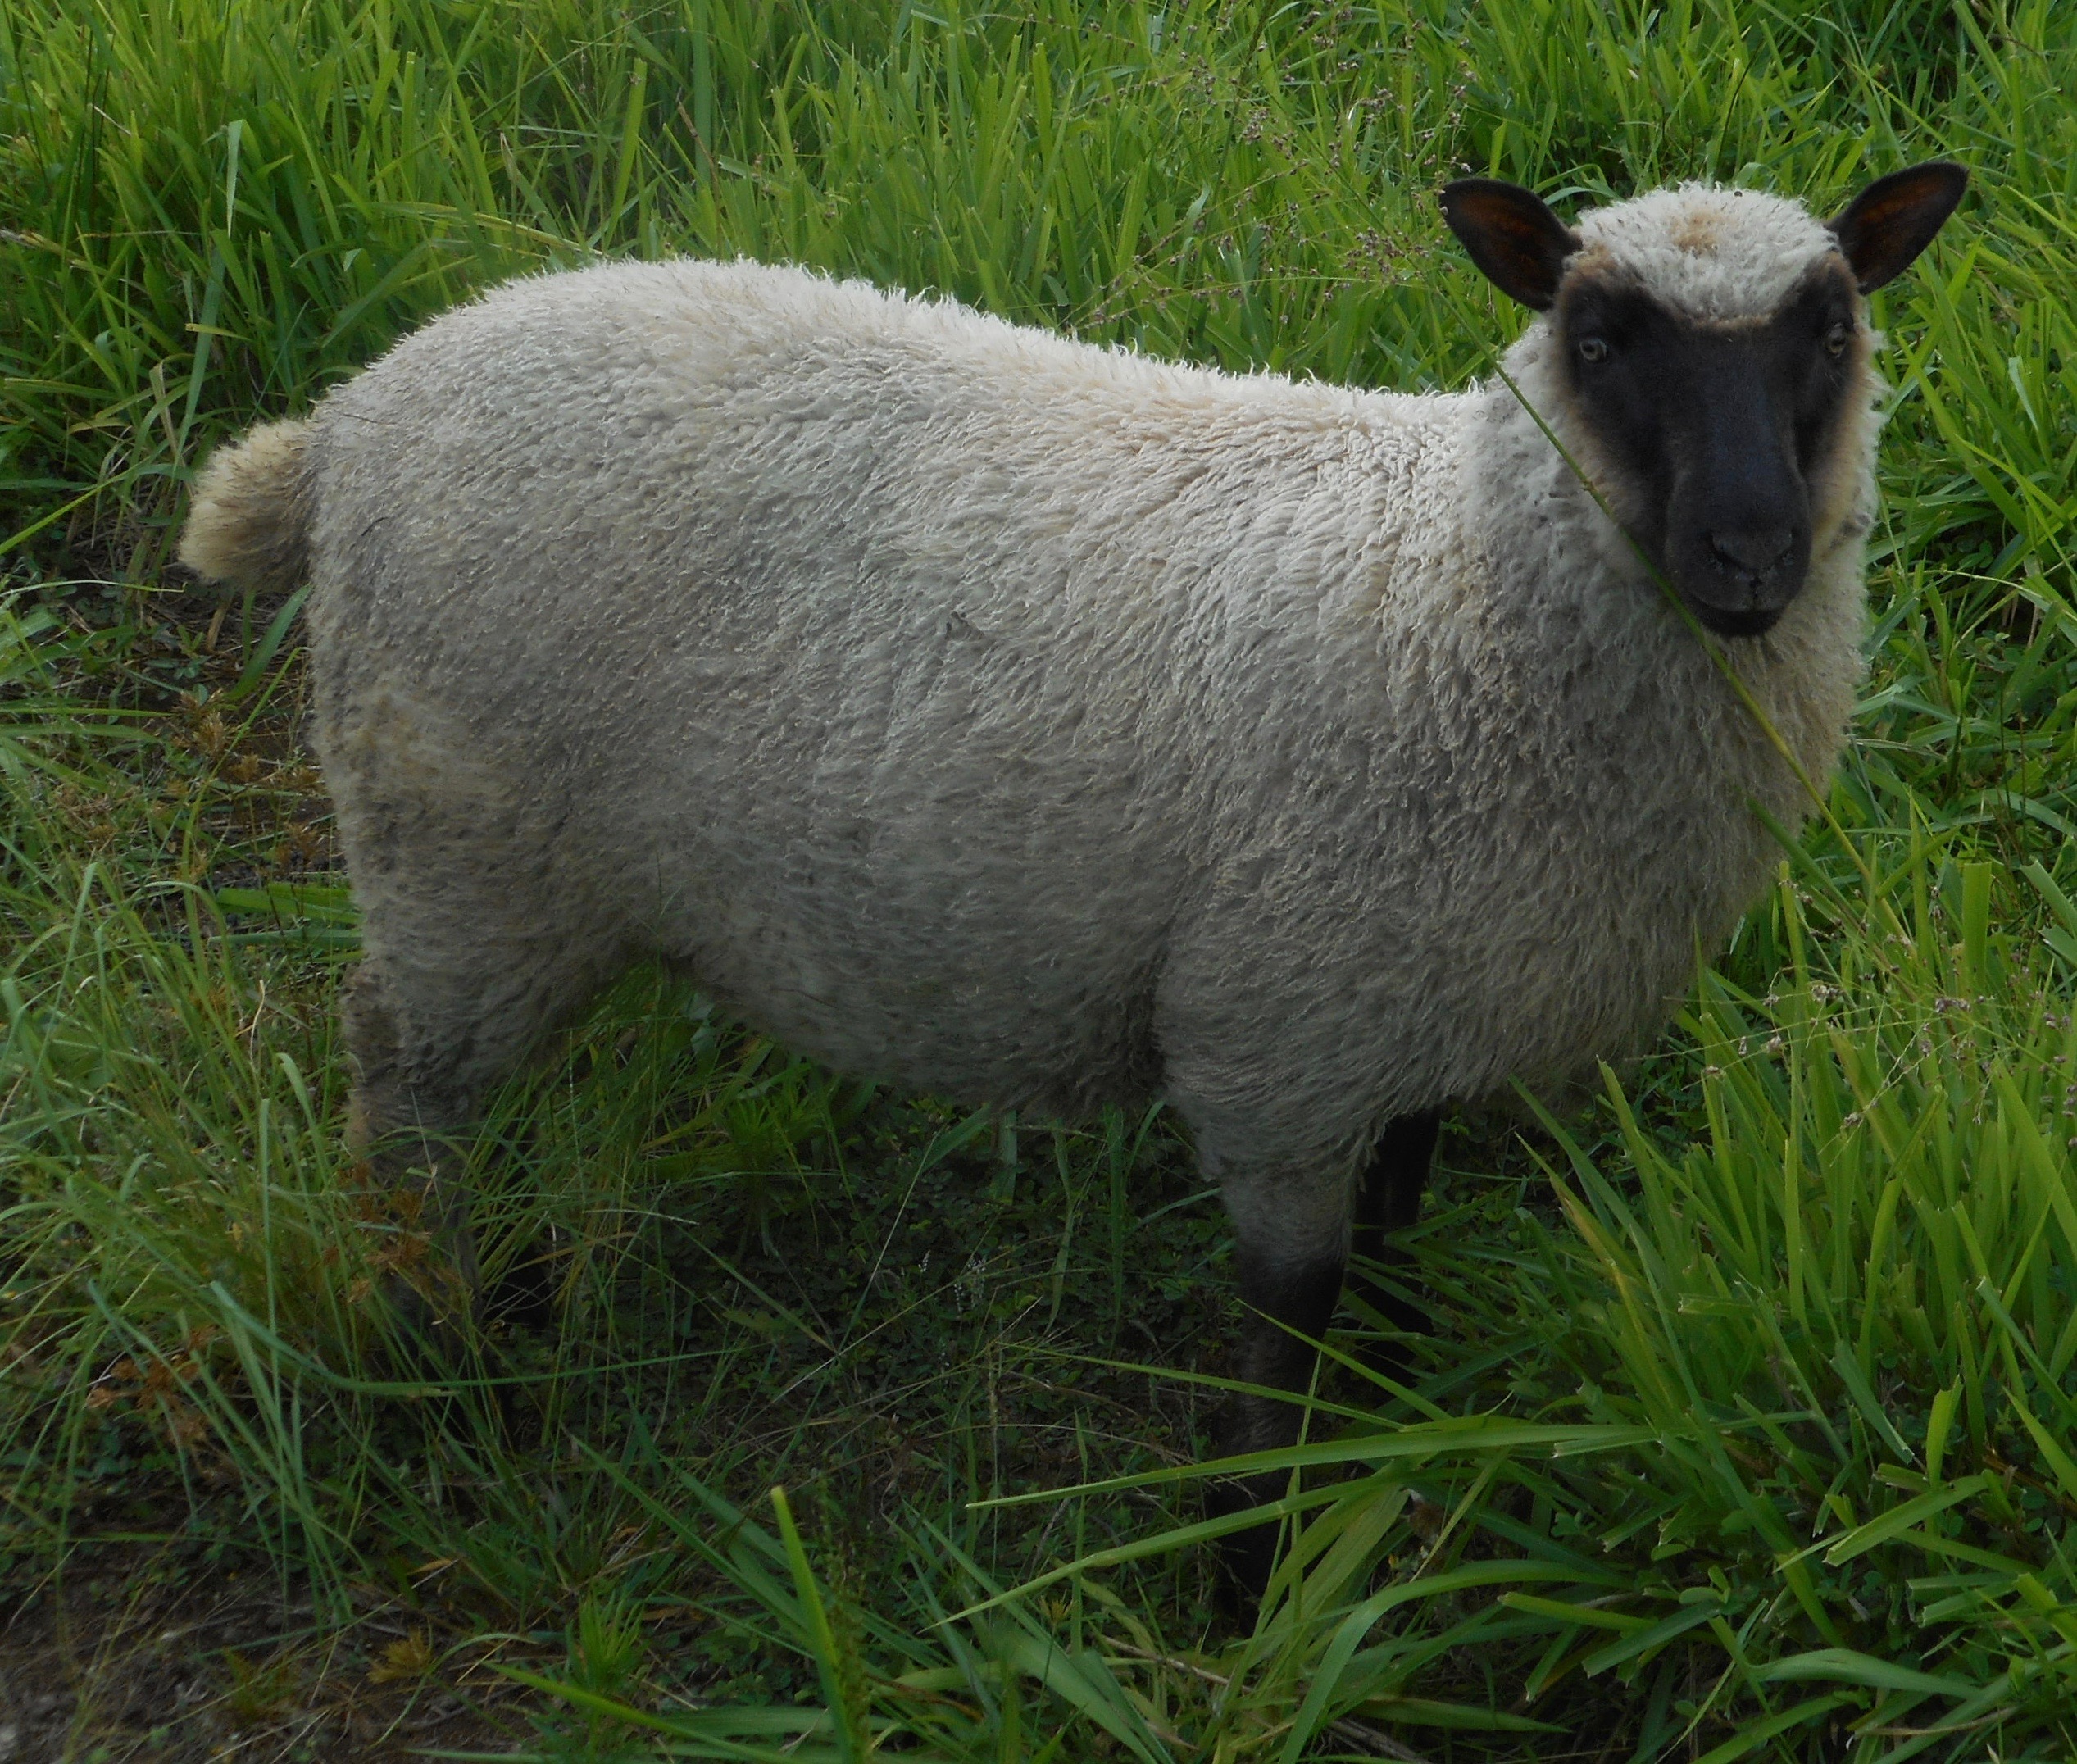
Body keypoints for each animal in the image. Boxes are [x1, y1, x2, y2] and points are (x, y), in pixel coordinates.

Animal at [178, 161, 1961, 1595]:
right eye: (1597, 337)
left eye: (1827, 328)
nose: (1747, 555)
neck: (1449, 600)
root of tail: (352, 417)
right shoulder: (1275, 1045)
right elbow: (1285, 1327)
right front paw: (1248, 1574)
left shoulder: (1414, 1006)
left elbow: (1395, 1230)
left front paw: (1385, 1419)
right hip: (454, 846)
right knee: (404, 1094)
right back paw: (448, 1345)